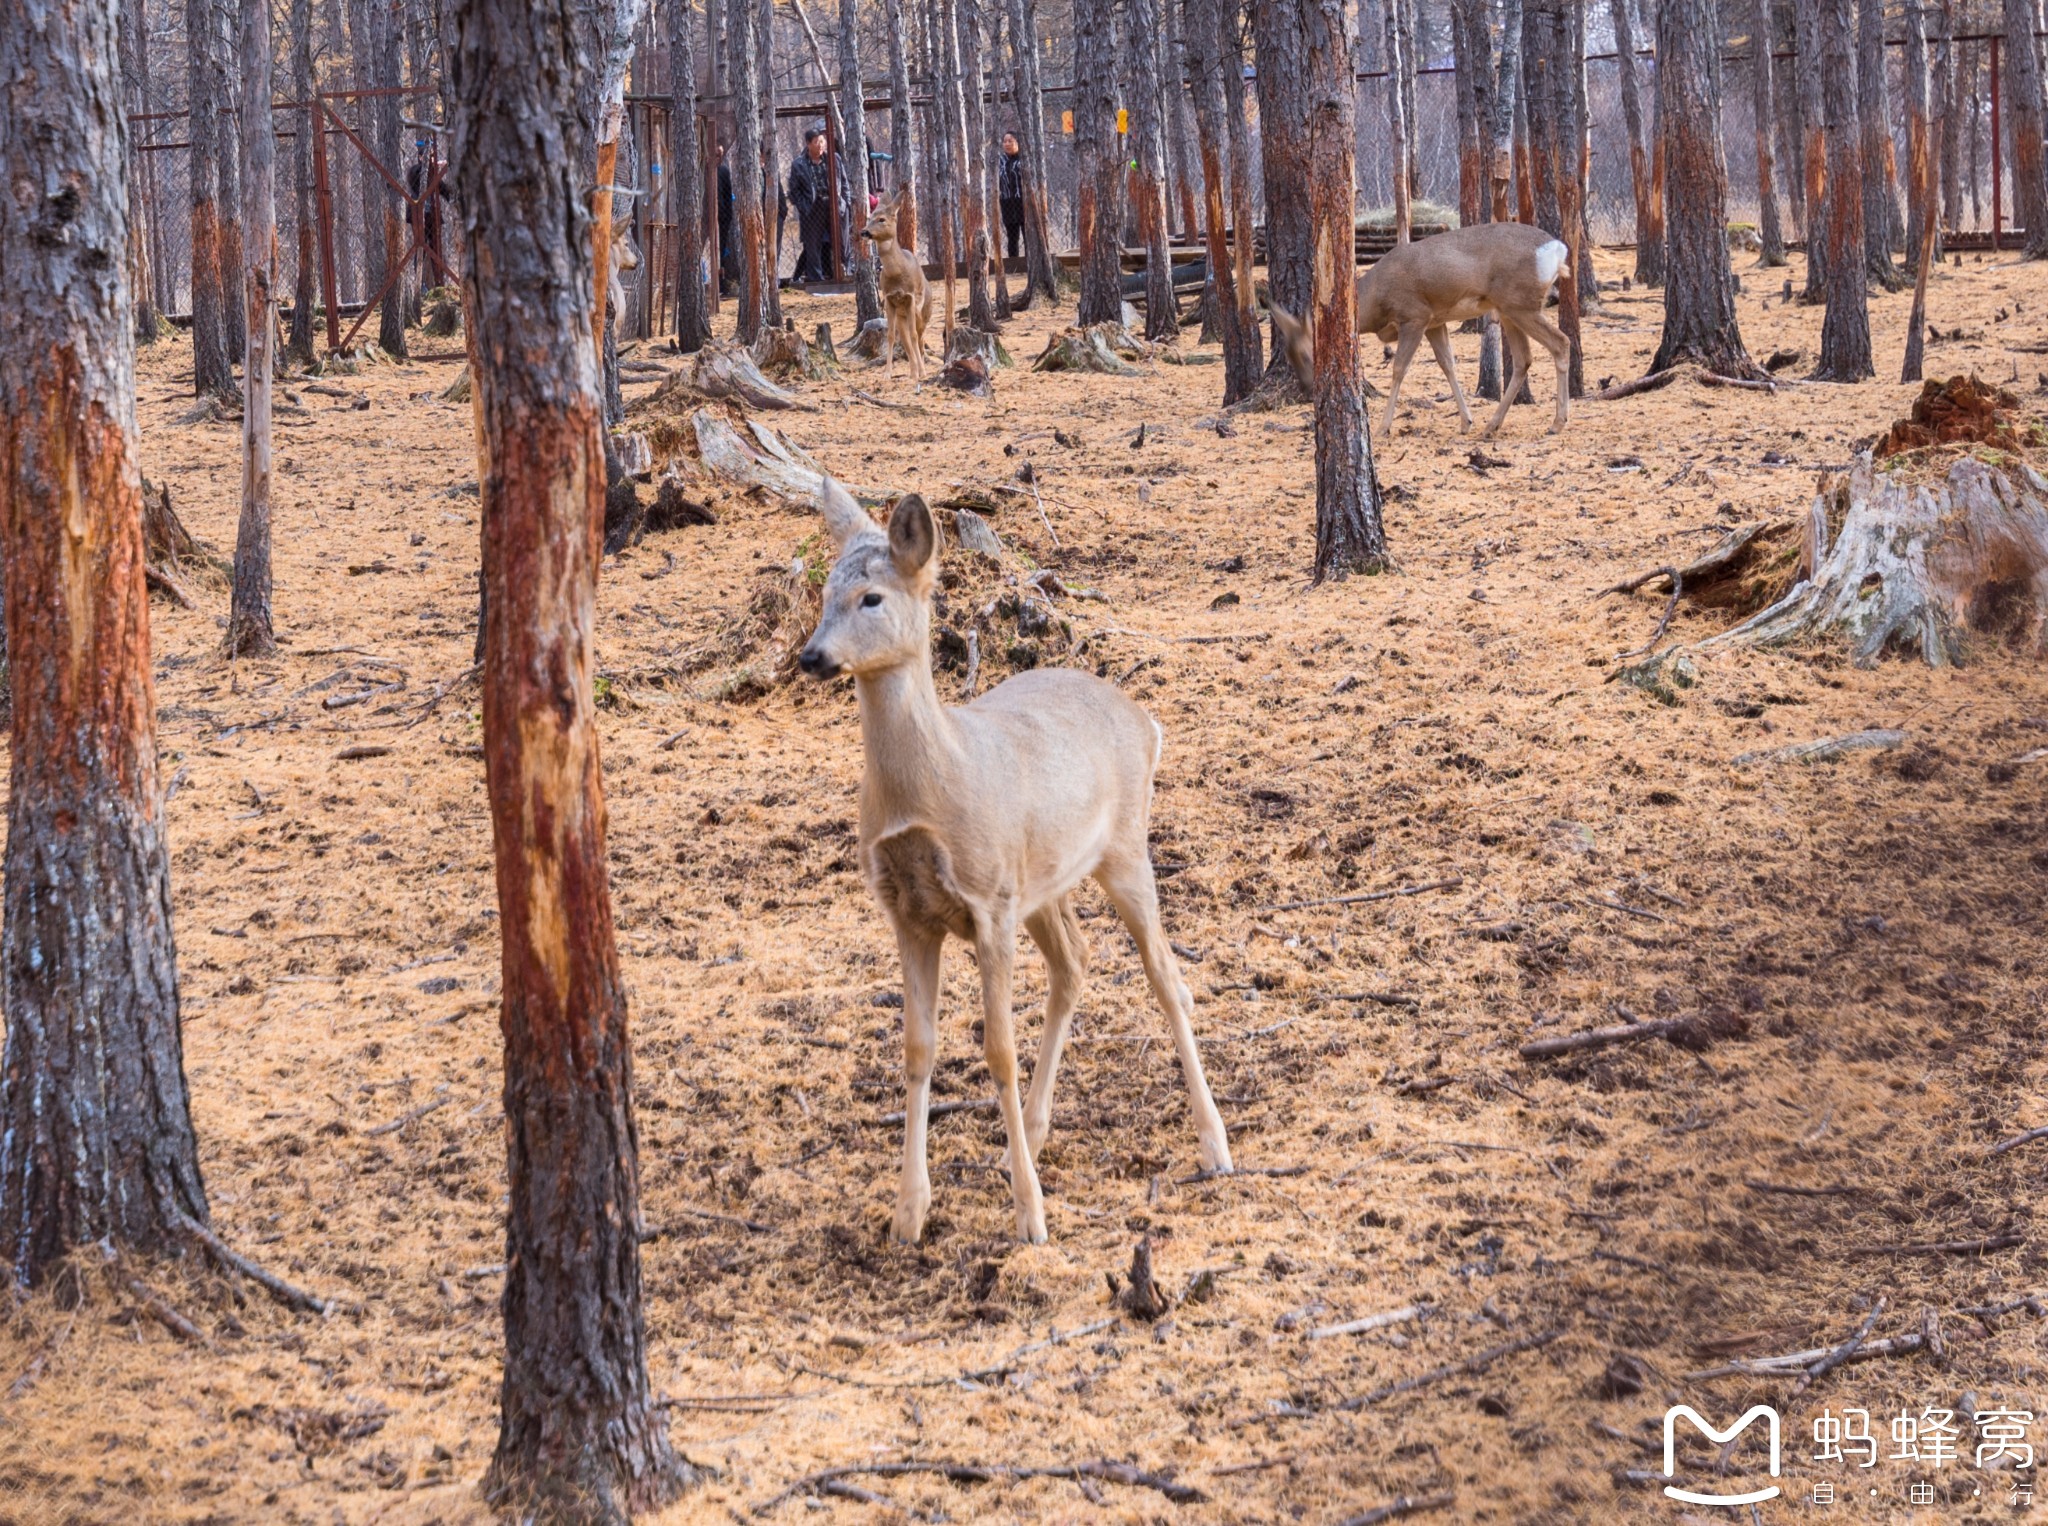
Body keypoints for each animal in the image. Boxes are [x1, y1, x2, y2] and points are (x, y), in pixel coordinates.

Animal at [798, 481, 1228, 1245]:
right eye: (824, 592)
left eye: (872, 597)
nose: (811, 657)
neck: (930, 788)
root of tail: (1147, 721)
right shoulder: (907, 912)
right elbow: (918, 1049)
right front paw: (909, 1211)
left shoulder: (987, 901)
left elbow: (998, 1048)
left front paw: (1031, 1217)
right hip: (1043, 883)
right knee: (1075, 963)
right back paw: (1031, 1129)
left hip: (1123, 848)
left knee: (1167, 978)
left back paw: (1214, 1144)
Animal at [856, 183, 937, 380]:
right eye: (870, 218)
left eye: (882, 219)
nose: (864, 231)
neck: (898, 273)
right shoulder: (889, 299)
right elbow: (891, 336)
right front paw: (887, 374)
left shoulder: (911, 298)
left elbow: (914, 336)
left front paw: (922, 372)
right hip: (902, 315)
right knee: (906, 337)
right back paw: (912, 371)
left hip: (923, 311)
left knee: (919, 336)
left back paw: (920, 368)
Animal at [1269, 223, 1572, 444]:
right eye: (1289, 355)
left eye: (1308, 354)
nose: (1308, 389)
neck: (1375, 298)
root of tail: (1557, 250)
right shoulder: (1435, 322)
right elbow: (1448, 365)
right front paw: (1466, 421)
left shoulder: (1414, 316)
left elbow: (1399, 368)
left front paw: (1383, 427)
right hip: (1508, 309)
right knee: (1524, 359)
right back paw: (1491, 426)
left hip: (1520, 304)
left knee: (1561, 342)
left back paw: (1557, 423)